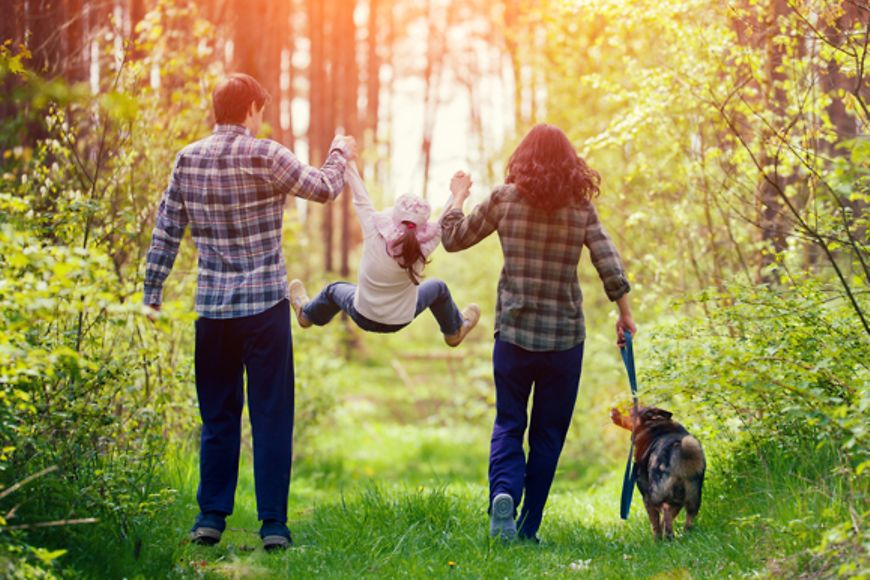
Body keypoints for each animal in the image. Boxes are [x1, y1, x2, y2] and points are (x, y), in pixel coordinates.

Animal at [608, 406, 704, 540]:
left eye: (627, 408)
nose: (612, 409)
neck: (653, 425)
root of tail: (680, 450)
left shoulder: (647, 498)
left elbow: (655, 524)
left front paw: (657, 540)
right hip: (693, 498)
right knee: (685, 518)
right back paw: (685, 535)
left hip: (656, 494)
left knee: (665, 511)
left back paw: (668, 538)